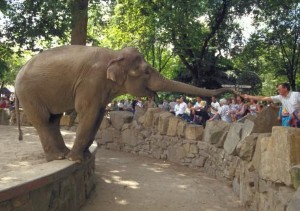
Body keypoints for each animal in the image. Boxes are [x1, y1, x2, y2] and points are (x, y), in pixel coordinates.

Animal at [15, 45, 237, 162]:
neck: (114, 54)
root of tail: (19, 72)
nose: (234, 89)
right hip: (29, 93)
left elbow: (97, 116)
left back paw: (62, 154)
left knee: (53, 120)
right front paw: (77, 159)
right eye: (146, 71)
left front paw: (83, 156)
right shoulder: (91, 82)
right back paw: (58, 157)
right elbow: (88, 114)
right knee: (43, 121)